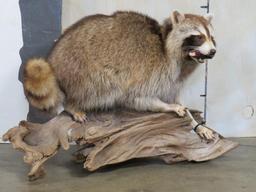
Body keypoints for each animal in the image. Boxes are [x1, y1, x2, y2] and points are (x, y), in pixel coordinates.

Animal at [23, 10, 216, 121]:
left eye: (211, 37)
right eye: (198, 37)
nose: (213, 51)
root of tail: (53, 58)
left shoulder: (173, 77)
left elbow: (172, 94)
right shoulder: (150, 71)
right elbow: (138, 98)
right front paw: (168, 106)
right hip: (81, 69)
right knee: (96, 88)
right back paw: (72, 105)